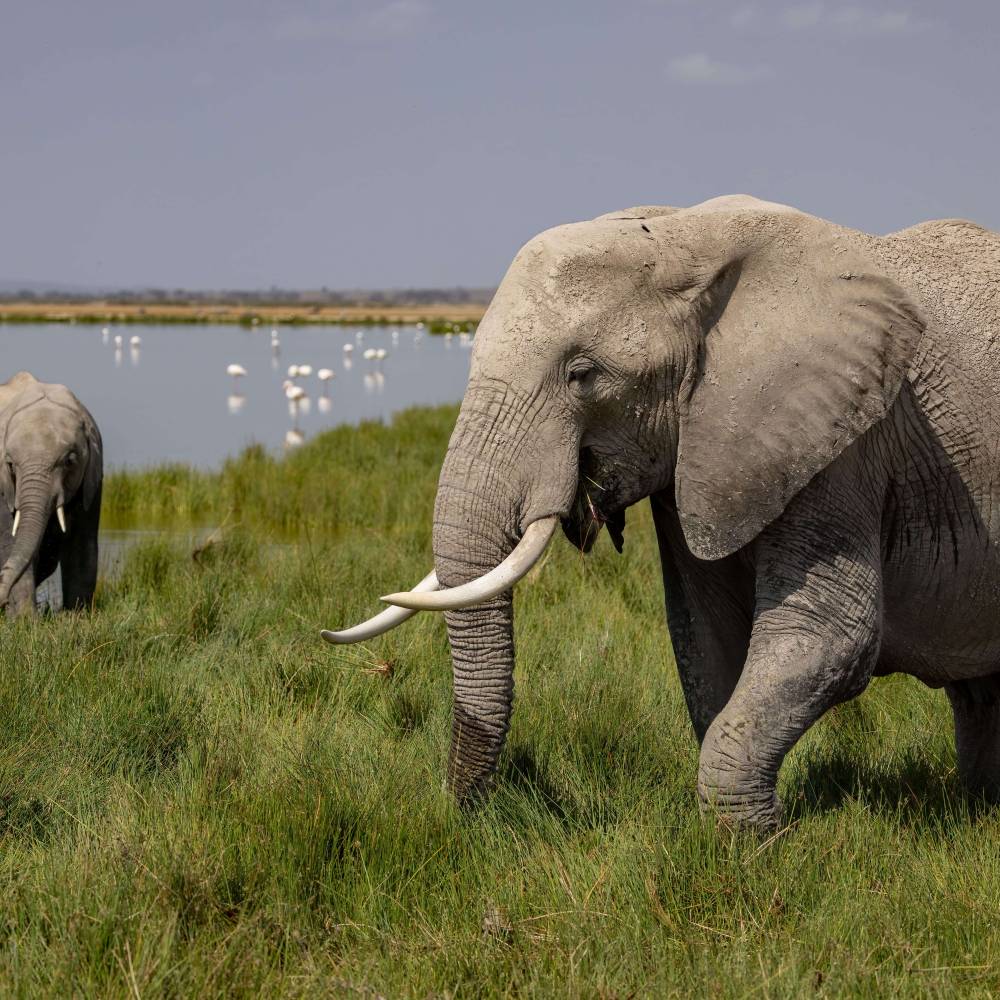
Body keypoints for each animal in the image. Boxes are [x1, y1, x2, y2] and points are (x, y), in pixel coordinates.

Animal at [0, 371, 103, 617]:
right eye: (10, 465)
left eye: (69, 461)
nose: (1, 599)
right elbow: (12, 541)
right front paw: (25, 621)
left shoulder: (93, 480)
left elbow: (82, 548)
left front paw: (77, 618)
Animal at [325, 194, 1000, 830]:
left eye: (582, 374)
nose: (464, 813)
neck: (685, 238)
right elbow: (705, 635)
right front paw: (743, 835)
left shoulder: (843, 440)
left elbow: (830, 635)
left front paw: (752, 844)